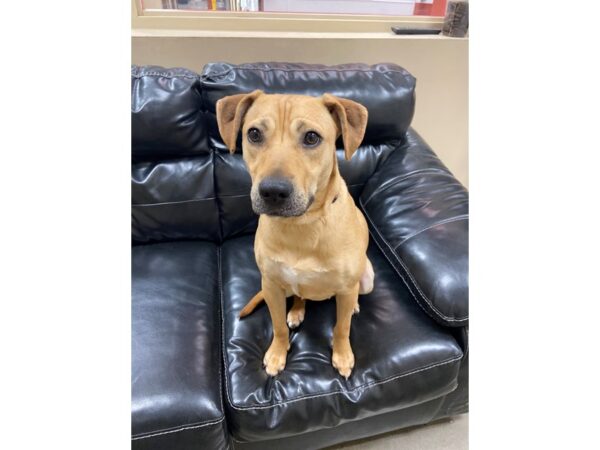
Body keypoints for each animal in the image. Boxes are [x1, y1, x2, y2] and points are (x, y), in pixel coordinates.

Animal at [218, 89, 372, 378]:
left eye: (311, 137)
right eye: (253, 134)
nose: (273, 192)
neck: (302, 225)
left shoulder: (346, 290)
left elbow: (342, 327)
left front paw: (342, 356)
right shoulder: (271, 286)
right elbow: (278, 326)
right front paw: (277, 354)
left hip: (367, 279)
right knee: (301, 295)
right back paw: (297, 311)